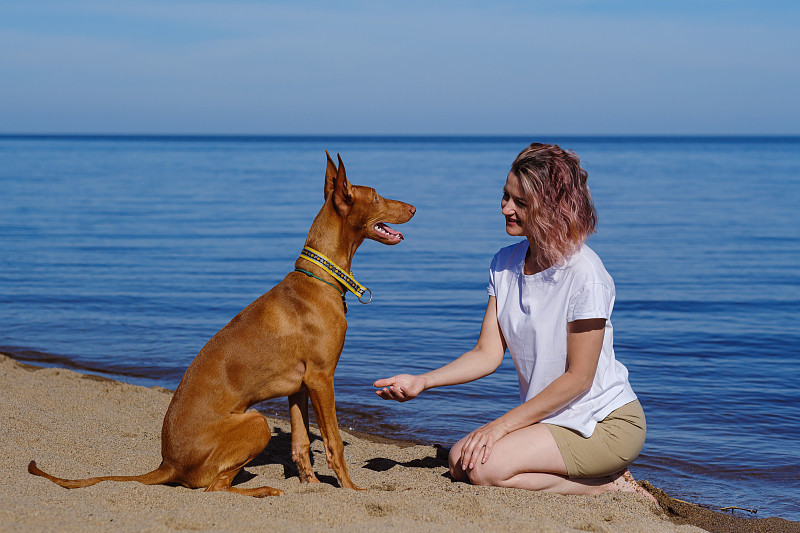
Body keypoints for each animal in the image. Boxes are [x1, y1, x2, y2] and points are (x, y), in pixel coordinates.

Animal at [28, 151, 416, 494]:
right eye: (377, 196)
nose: (414, 208)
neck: (320, 278)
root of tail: (167, 463)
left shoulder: (299, 386)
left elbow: (301, 443)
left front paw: (312, 484)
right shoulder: (322, 378)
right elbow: (334, 441)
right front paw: (352, 489)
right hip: (256, 422)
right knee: (214, 488)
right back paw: (263, 491)